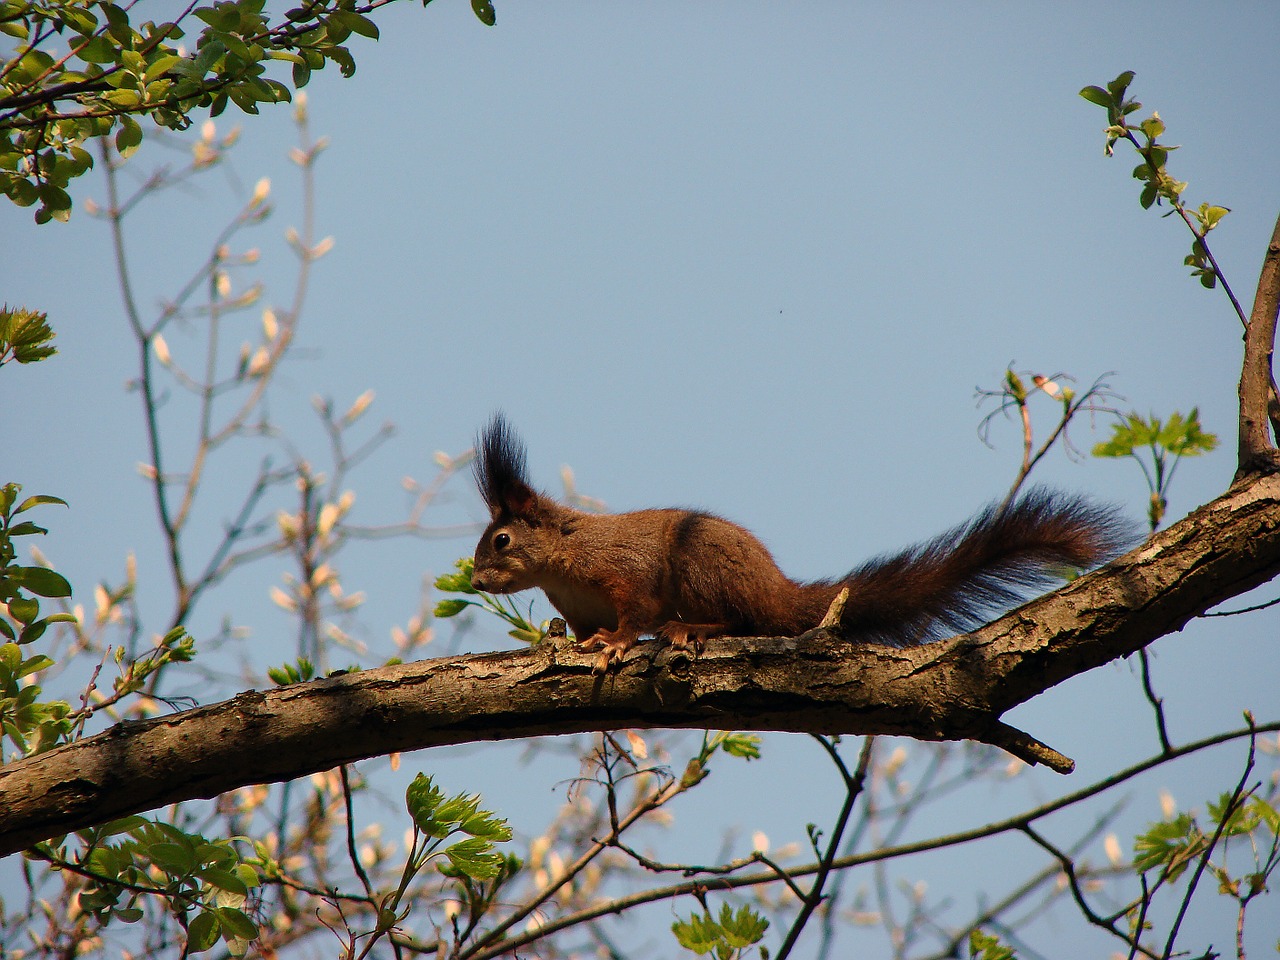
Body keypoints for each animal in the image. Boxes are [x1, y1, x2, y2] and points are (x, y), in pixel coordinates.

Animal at [471, 414, 1131, 670]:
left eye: (500, 541)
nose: (475, 581)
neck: (561, 561)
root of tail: (775, 589)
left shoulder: (620, 572)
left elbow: (635, 611)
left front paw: (614, 643)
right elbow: (577, 629)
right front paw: (575, 640)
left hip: (700, 564)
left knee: (744, 620)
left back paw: (692, 629)